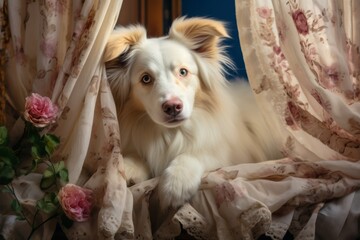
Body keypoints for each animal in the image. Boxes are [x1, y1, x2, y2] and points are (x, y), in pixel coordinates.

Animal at [103, 17, 284, 208]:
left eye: (183, 72)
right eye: (146, 78)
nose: (173, 107)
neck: (172, 133)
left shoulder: (234, 154)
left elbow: (198, 153)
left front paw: (176, 184)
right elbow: (136, 156)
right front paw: (126, 169)